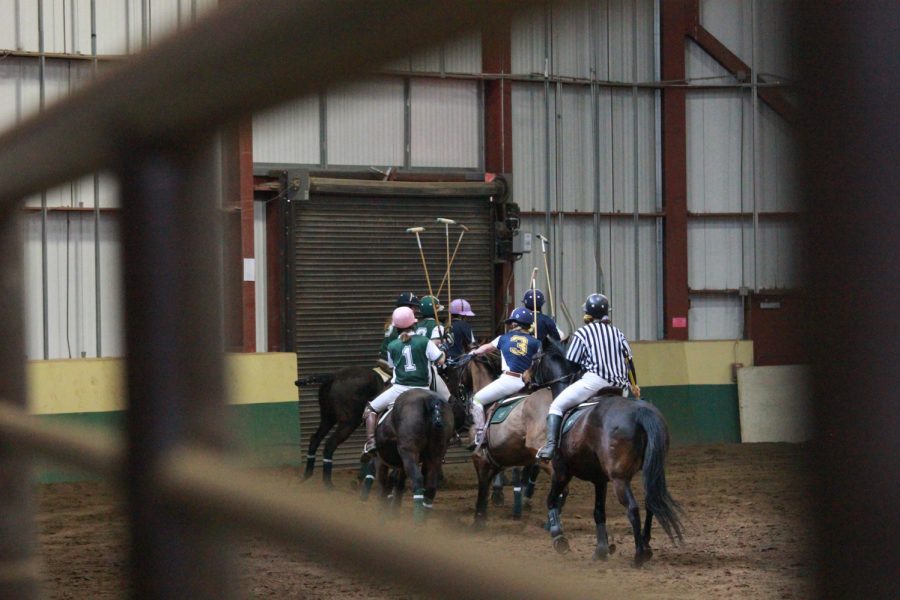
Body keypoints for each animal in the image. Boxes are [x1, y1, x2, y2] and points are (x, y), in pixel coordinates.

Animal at [532, 340, 684, 564]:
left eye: (534, 359)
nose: (524, 379)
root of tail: (640, 412)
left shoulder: (561, 472)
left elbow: (551, 500)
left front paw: (559, 538)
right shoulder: (600, 479)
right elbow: (598, 512)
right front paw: (601, 549)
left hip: (619, 478)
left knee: (633, 508)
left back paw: (639, 554)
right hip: (652, 470)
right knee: (650, 502)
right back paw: (646, 545)